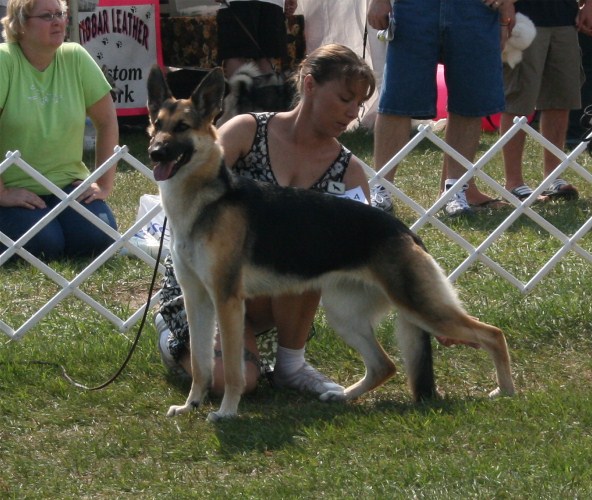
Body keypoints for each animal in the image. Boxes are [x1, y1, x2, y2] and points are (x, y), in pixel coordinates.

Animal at [146, 64, 516, 420]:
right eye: (157, 125)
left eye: (182, 127)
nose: (154, 152)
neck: (204, 201)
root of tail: (406, 232)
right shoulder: (197, 300)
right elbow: (200, 365)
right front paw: (191, 405)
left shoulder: (226, 302)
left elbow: (234, 372)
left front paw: (226, 413)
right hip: (345, 316)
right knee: (384, 366)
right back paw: (342, 396)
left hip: (422, 309)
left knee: (494, 335)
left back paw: (506, 392)